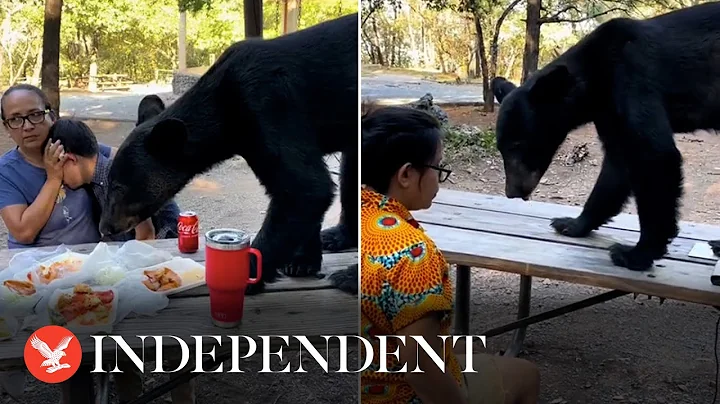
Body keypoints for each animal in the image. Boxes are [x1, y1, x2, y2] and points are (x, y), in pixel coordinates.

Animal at [98, 13, 359, 294]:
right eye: (110, 183)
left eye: (119, 187)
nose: (105, 227)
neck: (226, 110)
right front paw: (302, 262)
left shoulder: (270, 105)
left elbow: (304, 187)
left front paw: (247, 275)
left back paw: (349, 276)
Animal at [490, 2, 720, 271]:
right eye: (501, 148)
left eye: (518, 145)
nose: (512, 192)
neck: (596, 79)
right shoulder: (609, 114)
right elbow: (616, 166)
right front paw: (573, 223)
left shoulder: (633, 81)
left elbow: (655, 156)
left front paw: (637, 253)